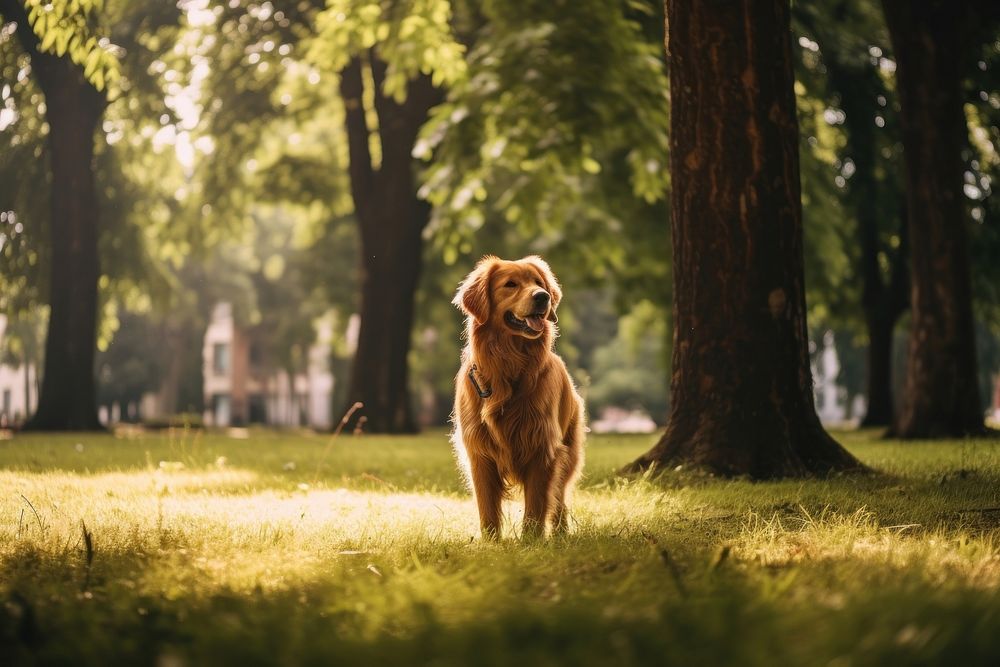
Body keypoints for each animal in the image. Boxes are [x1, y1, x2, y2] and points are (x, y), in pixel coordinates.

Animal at [454, 256, 584, 544]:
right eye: (510, 284)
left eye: (538, 282)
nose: (543, 296)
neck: (510, 367)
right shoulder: (480, 453)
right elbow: (487, 506)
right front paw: (491, 542)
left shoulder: (543, 448)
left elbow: (536, 504)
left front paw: (531, 542)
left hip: (568, 452)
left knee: (559, 498)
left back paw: (561, 534)